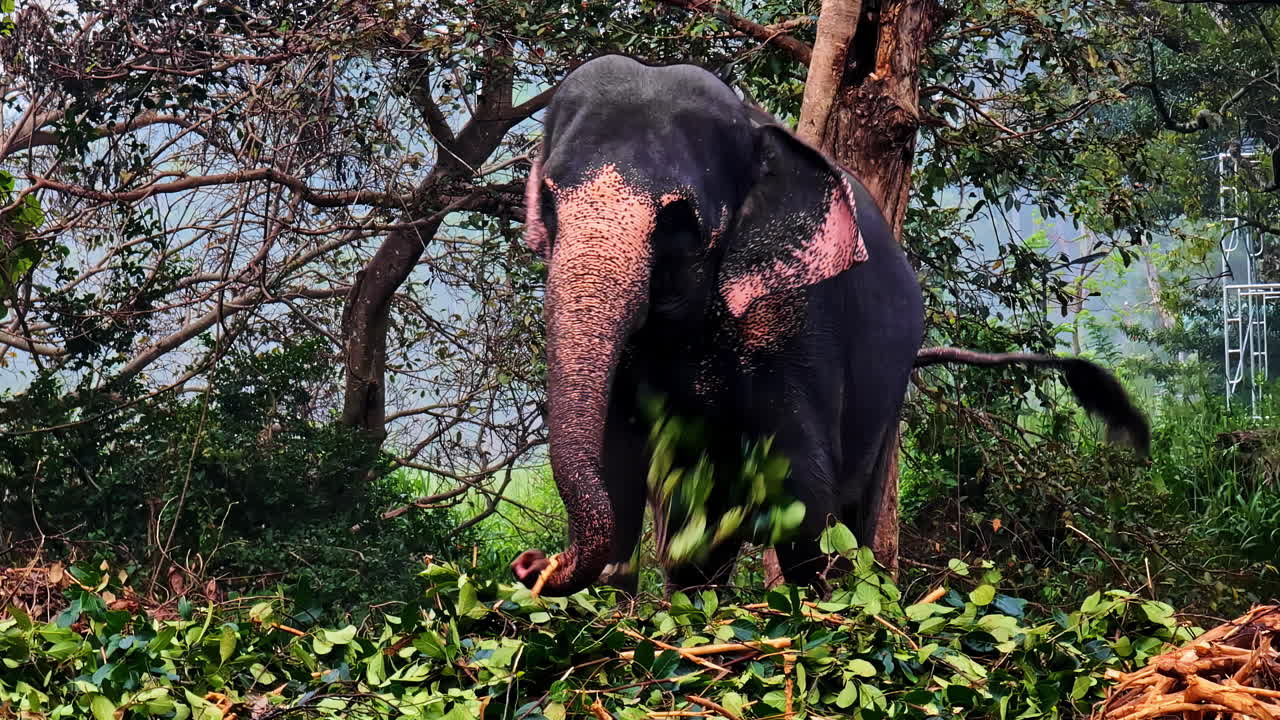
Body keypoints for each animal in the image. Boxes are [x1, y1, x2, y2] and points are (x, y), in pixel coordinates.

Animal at [510, 54, 1149, 598]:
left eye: (679, 219)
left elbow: (802, 491)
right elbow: (621, 472)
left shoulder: (800, 316)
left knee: (857, 511)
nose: (530, 564)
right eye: (549, 200)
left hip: (890, 392)